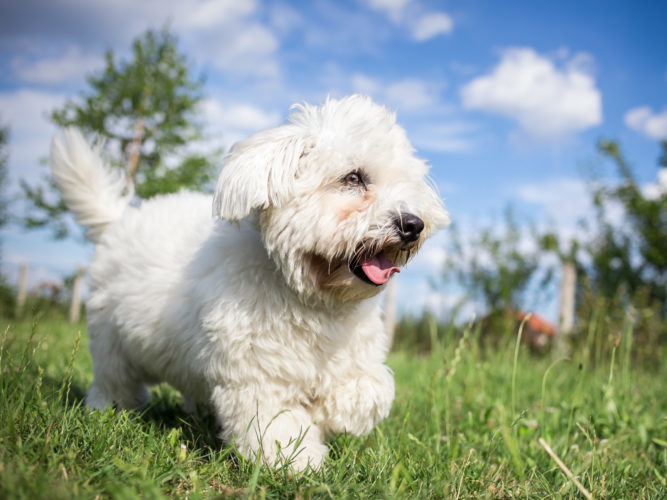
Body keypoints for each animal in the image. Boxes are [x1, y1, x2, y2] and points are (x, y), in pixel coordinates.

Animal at [51, 94, 448, 472]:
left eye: (406, 185)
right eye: (353, 178)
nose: (413, 224)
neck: (312, 297)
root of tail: (120, 219)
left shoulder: (356, 356)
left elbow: (371, 392)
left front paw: (330, 413)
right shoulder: (258, 376)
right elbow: (278, 426)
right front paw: (297, 463)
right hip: (111, 340)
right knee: (113, 380)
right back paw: (108, 411)